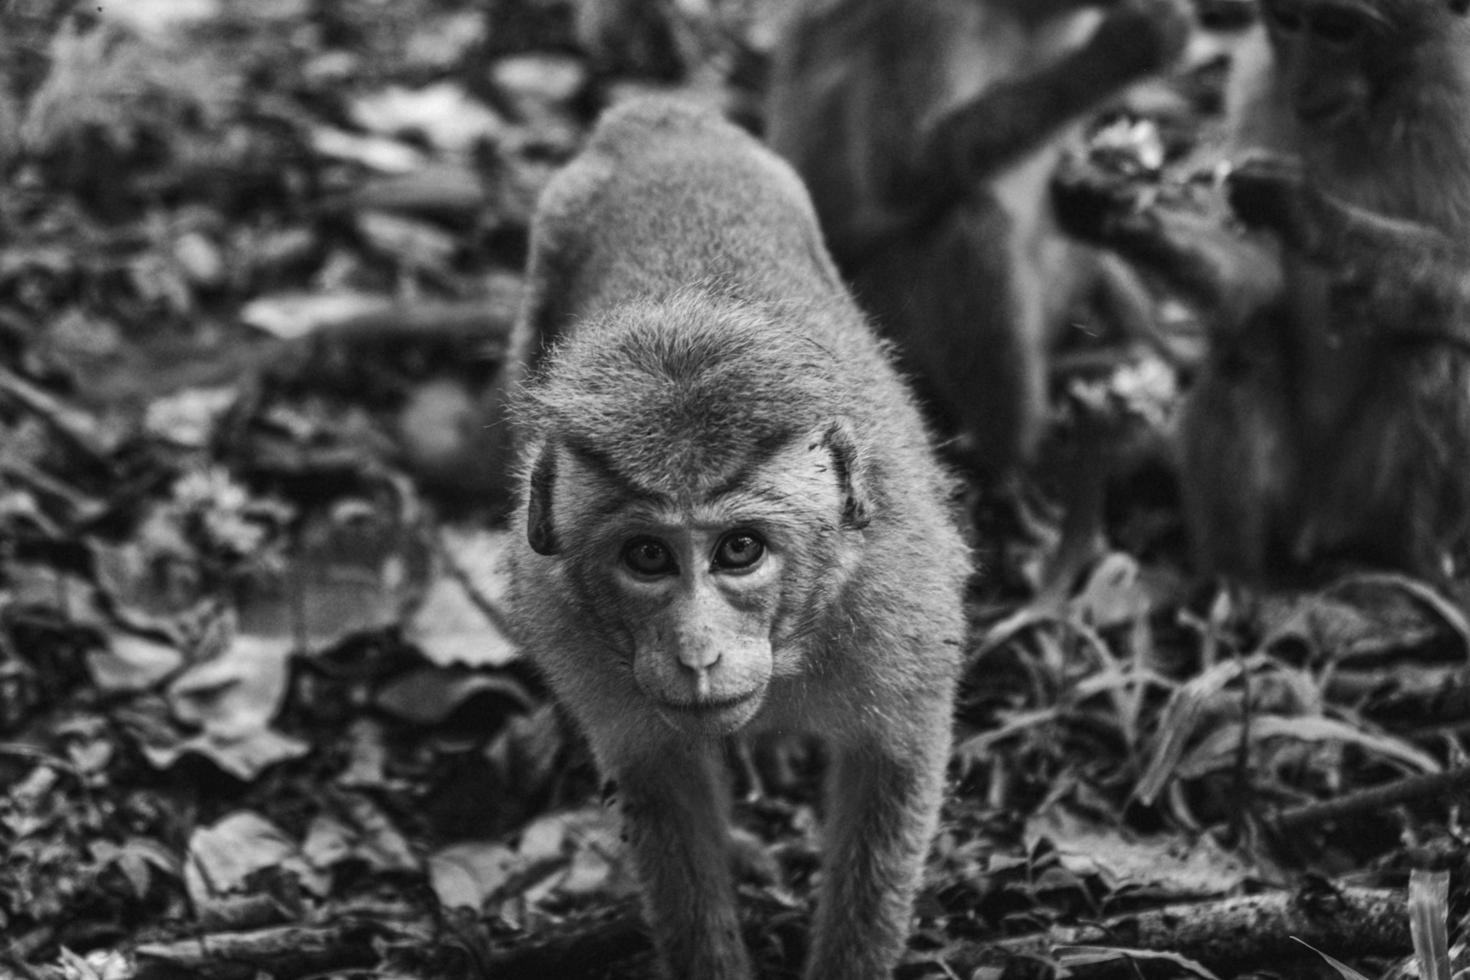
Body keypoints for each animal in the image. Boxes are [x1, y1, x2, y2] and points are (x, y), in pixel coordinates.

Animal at [505, 99, 976, 980]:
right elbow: (665, 792)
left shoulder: (898, 608)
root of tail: (656, 120)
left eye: (740, 551)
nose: (697, 653)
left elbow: (891, 774)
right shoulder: (582, 644)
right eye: (647, 557)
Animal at [1058, 0, 1470, 578]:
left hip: (1357, 497)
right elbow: (1259, 283)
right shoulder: (1255, 86)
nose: (1302, 81)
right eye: (1287, 21)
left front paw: (1317, 217)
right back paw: (1236, 578)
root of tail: (1315, 522)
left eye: (1339, 30)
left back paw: (1405, 565)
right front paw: (1112, 207)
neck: (1375, 109)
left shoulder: (1459, 106)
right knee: (1249, 341)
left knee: (1434, 350)